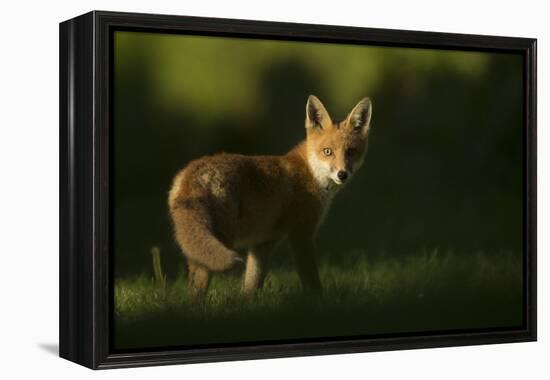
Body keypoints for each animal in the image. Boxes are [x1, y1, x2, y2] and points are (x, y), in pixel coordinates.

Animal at [169, 94, 376, 300]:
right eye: (328, 152)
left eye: (351, 152)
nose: (343, 174)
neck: (310, 171)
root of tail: (189, 175)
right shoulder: (301, 235)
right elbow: (311, 280)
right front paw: (318, 300)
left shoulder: (263, 243)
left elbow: (252, 283)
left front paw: (248, 302)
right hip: (222, 237)